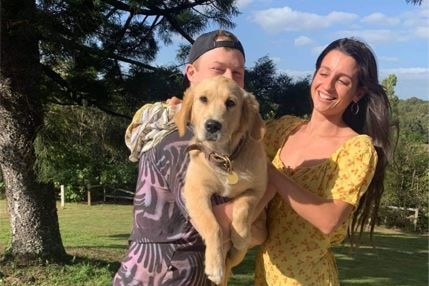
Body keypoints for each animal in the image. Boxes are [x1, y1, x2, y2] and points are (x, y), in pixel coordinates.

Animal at [175, 75, 268, 284]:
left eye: (231, 103)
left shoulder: (257, 189)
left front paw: (240, 235)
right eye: (203, 99)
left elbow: (243, 207)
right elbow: (213, 226)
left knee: (231, 264)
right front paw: (214, 266)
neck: (224, 159)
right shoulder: (194, 191)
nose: (212, 125)